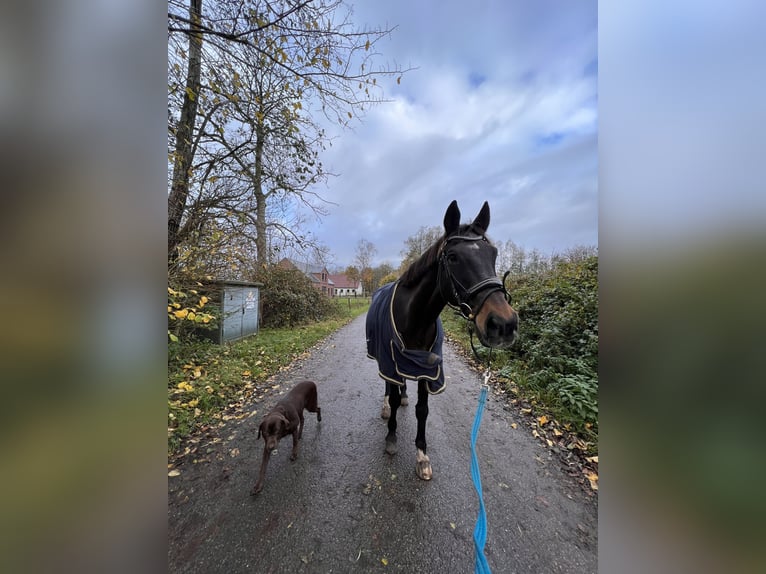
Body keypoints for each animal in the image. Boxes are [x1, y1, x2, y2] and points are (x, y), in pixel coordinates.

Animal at [368, 200, 520, 480]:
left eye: (493, 254)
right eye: (453, 257)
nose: (504, 324)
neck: (415, 318)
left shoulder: (427, 367)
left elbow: (422, 410)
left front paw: (421, 455)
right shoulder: (390, 360)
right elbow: (392, 397)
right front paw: (392, 438)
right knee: (387, 386)